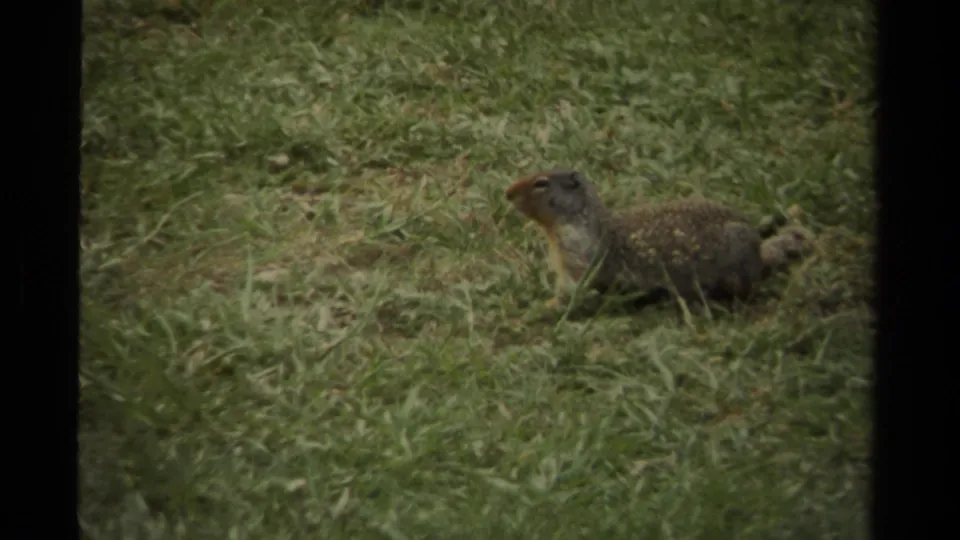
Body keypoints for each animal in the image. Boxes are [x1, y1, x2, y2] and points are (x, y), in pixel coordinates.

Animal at [504, 169, 814, 311]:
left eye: (541, 183)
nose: (507, 192)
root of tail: (759, 254)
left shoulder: (576, 254)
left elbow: (573, 290)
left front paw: (543, 306)